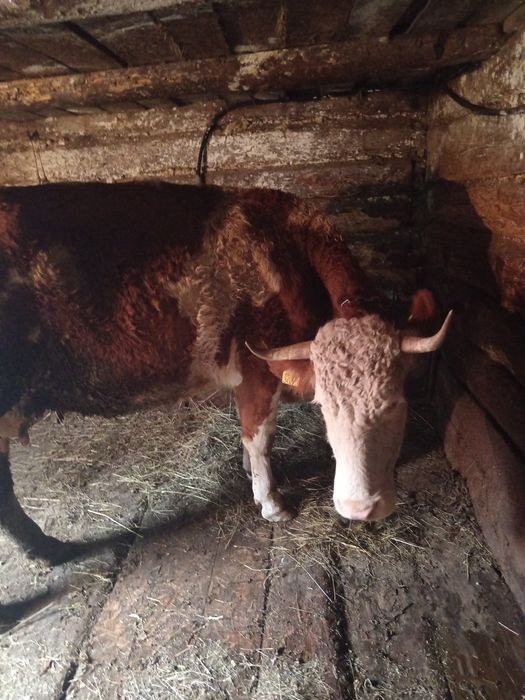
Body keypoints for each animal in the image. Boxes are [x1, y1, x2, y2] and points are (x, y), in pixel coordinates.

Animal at [0, 182, 451, 564]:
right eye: (324, 407)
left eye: (396, 404)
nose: (359, 508)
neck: (288, 250)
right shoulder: (258, 370)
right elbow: (259, 437)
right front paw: (271, 502)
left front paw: (253, 476)